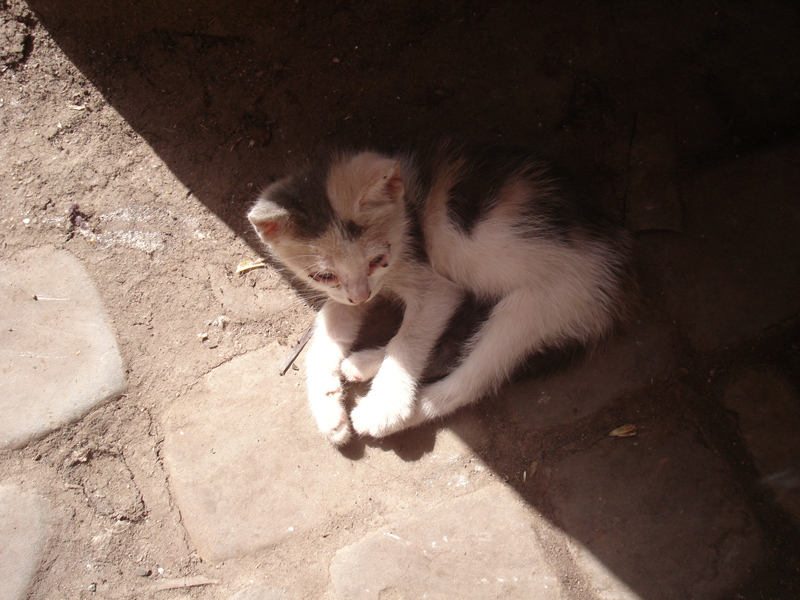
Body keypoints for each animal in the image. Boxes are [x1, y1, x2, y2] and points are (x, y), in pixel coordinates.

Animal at [247, 144, 636, 446]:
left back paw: (400, 410)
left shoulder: (433, 286)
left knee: (473, 379)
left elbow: (410, 339)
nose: (361, 295)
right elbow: (328, 328)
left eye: (377, 259)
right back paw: (364, 364)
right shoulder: (360, 290)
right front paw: (328, 410)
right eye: (324, 275)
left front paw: (386, 406)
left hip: (540, 304)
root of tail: (619, 280)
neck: (405, 213)